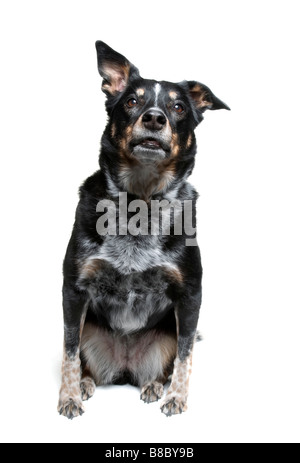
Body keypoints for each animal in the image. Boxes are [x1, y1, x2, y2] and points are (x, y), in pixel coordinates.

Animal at [57, 40, 229, 420]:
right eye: (132, 102)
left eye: (178, 107)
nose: (154, 117)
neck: (141, 203)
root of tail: (125, 369)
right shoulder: (73, 291)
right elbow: (69, 352)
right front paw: (69, 396)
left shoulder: (190, 296)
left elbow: (185, 356)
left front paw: (176, 398)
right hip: (91, 328)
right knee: (84, 359)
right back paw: (87, 383)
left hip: (167, 333)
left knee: (168, 362)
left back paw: (154, 385)